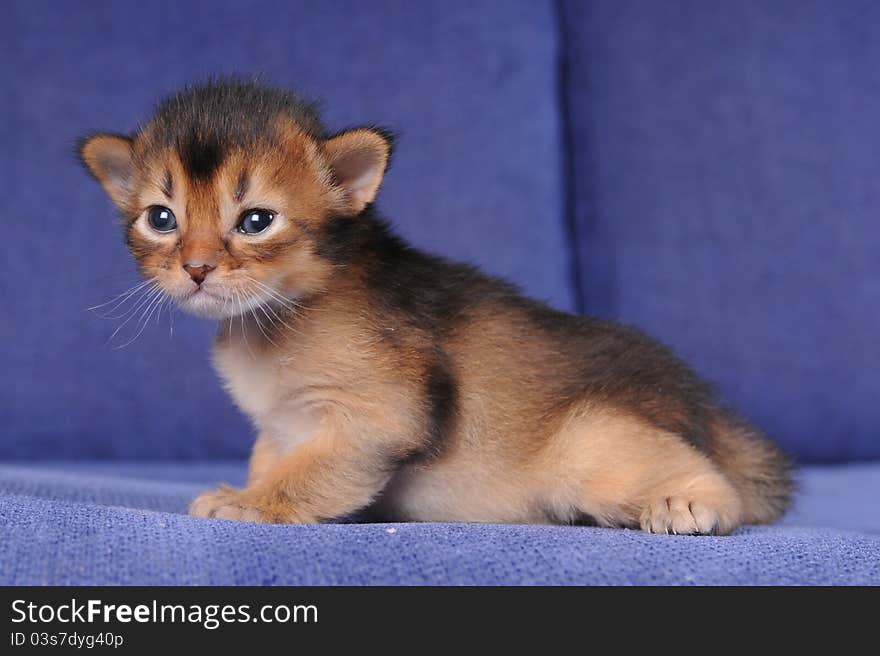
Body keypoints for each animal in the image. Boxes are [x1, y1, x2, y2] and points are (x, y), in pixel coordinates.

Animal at [82, 79, 796, 536]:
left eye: (256, 220)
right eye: (161, 219)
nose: (196, 267)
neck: (281, 314)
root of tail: (703, 408)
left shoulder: (383, 410)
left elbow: (313, 469)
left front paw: (255, 505)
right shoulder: (279, 426)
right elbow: (275, 457)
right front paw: (251, 489)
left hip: (592, 443)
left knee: (722, 486)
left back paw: (686, 506)